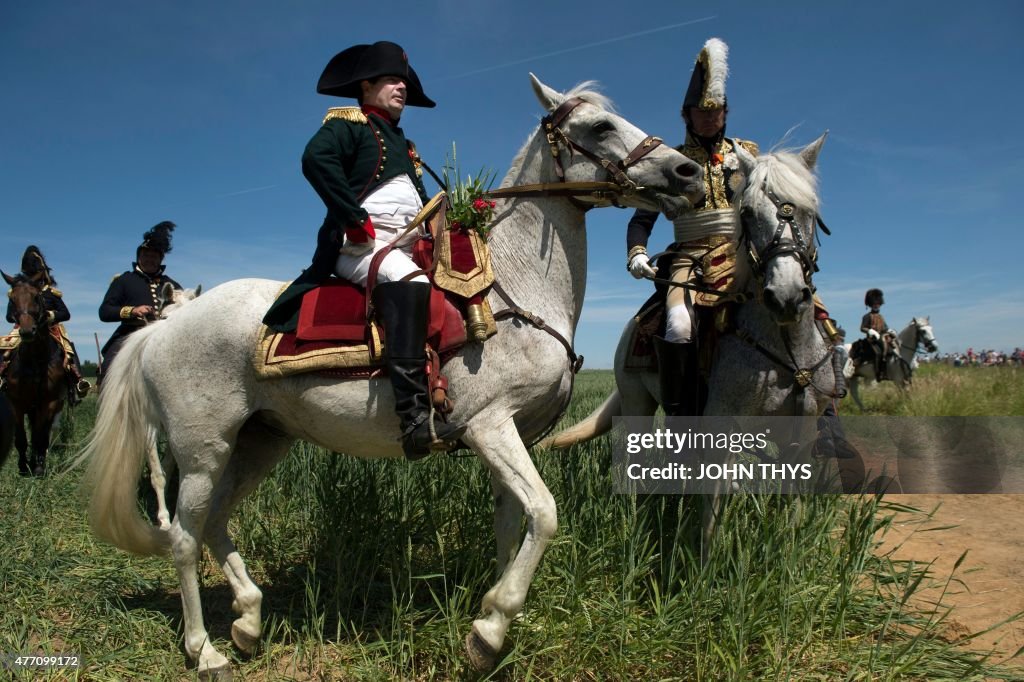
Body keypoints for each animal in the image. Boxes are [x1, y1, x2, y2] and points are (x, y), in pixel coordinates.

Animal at [1, 270, 68, 473]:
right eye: (12, 299)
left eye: (36, 297)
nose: (27, 331)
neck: (36, 360)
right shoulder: (16, 403)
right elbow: (21, 438)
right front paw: (23, 466)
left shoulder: (49, 402)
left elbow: (41, 437)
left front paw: (38, 467)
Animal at [75, 74, 704, 675]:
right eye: (600, 127)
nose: (689, 171)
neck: (513, 288)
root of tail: (164, 326)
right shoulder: (491, 428)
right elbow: (545, 515)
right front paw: (491, 629)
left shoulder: (513, 439)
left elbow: (513, 523)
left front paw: (502, 616)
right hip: (203, 449)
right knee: (184, 537)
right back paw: (204, 649)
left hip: (259, 441)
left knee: (214, 522)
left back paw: (249, 621)